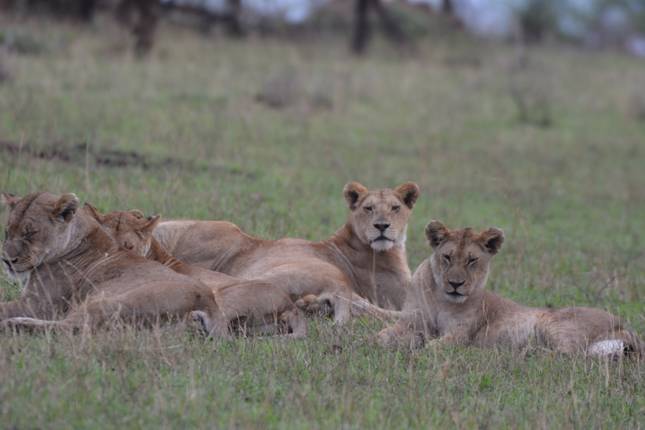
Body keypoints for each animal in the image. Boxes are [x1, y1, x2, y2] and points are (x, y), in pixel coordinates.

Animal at [0, 192, 229, 336]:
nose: (7, 261)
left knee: (73, 327)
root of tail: (209, 303)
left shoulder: (38, 305)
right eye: (7, 231)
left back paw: (14, 325)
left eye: (30, 233)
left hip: (106, 302)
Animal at [377, 220, 643, 357]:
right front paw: (383, 342)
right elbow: (381, 335)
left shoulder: (460, 334)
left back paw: (528, 352)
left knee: (570, 354)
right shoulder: (410, 320)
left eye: (472, 260)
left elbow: (434, 346)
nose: (455, 284)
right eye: (447, 257)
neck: (441, 298)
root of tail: (623, 324)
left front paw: (417, 346)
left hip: (552, 322)